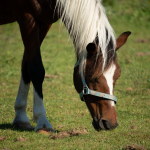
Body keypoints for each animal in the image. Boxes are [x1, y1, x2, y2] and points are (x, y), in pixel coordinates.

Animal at [0, 0, 131, 131]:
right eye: (93, 78)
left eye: (117, 76)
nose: (110, 123)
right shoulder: (26, 18)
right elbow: (36, 70)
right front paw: (42, 122)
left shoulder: (44, 23)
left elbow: (26, 66)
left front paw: (21, 118)